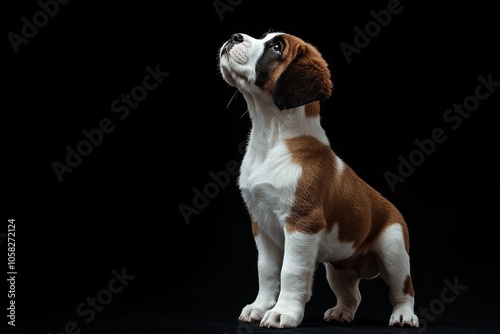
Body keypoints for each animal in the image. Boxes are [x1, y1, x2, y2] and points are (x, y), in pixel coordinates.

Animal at [218, 31, 418, 328]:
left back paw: (404, 315)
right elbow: (266, 270)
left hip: (393, 250)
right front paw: (260, 306)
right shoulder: (261, 225)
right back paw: (341, 312)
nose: (234, 36)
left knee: (403, 289)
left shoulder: (302, 224)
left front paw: (282, 312)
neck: (272, 134)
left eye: (276, 47)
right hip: (337, 269)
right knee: (353, 294)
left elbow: (290, 271)